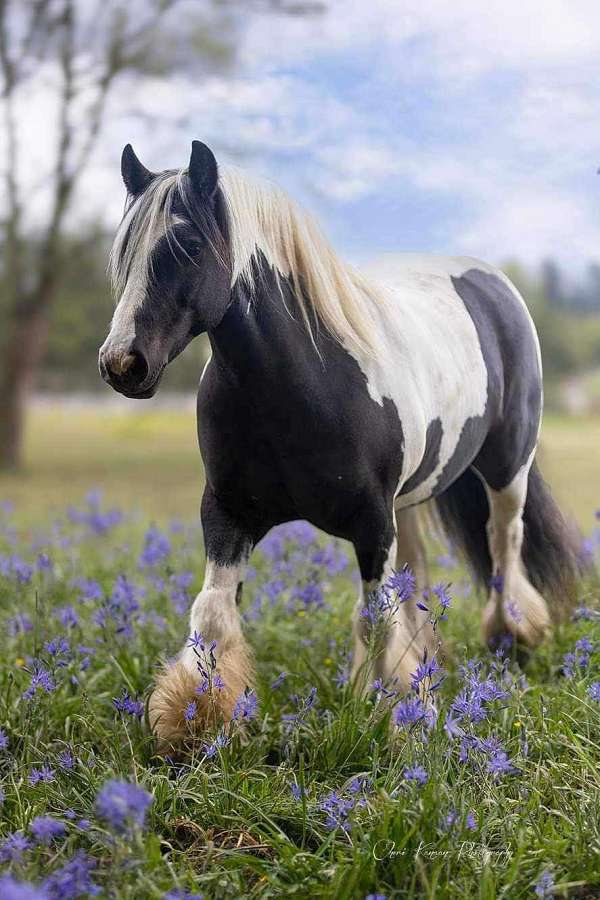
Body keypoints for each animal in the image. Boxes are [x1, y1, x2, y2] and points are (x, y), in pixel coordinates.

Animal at [99, 141, 580, 744]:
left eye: (185, 244)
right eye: (124, 248)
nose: (122, 363)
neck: (305, 384)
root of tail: (494, 285)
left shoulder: (372, 524)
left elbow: (373, 622)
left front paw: (388, 719)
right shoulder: (228, 513)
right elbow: (211, 612)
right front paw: (193, 721)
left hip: (507, 467)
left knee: (504, 543)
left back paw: (510, 637)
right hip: (410, 501)